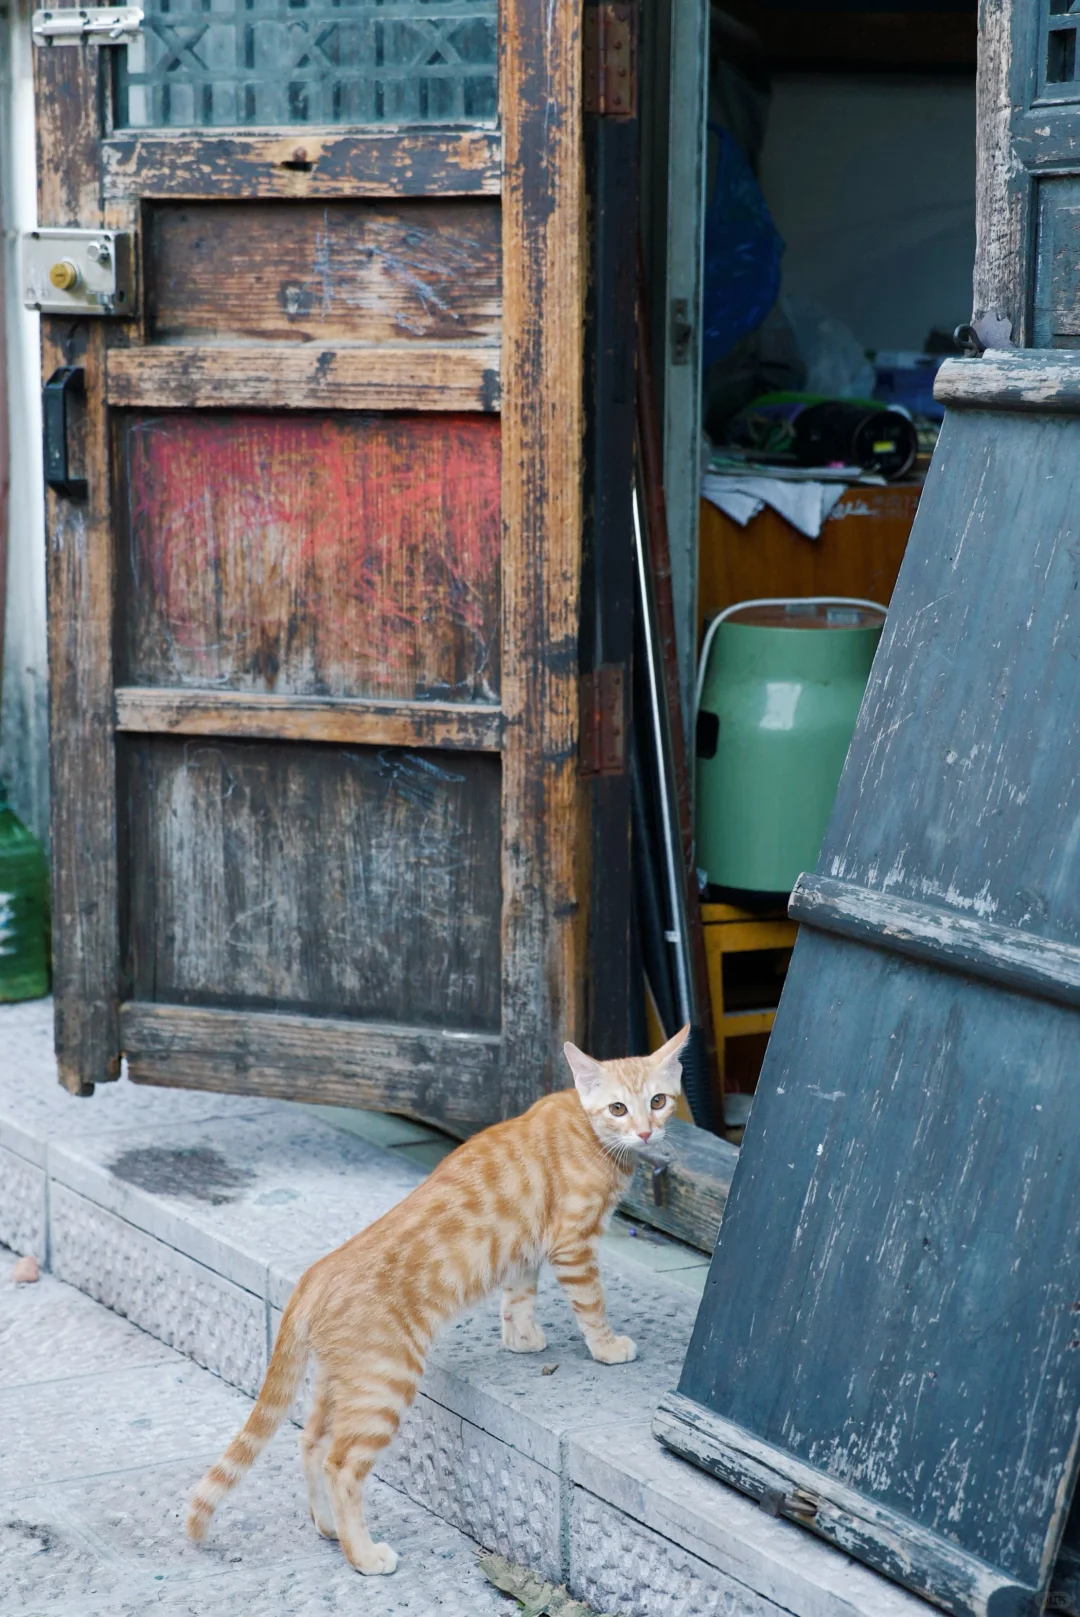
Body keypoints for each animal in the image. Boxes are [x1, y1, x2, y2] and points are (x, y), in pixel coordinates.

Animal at [186, 1028, 688, 1571]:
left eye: (658, 1101)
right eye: (618, 1108)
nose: (645, 1133)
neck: (588, 1128)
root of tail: (314, 1275)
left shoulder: (526, 1244)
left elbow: (518, 1292)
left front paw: (522, 1337)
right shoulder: (574, 1243)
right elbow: (591, 1303)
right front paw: (607, 1347)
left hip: (339, 1382)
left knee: (311, 1441)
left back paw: (327, 1527)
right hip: (385, 1383)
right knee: (342, 1465)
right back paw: (363, 1555)